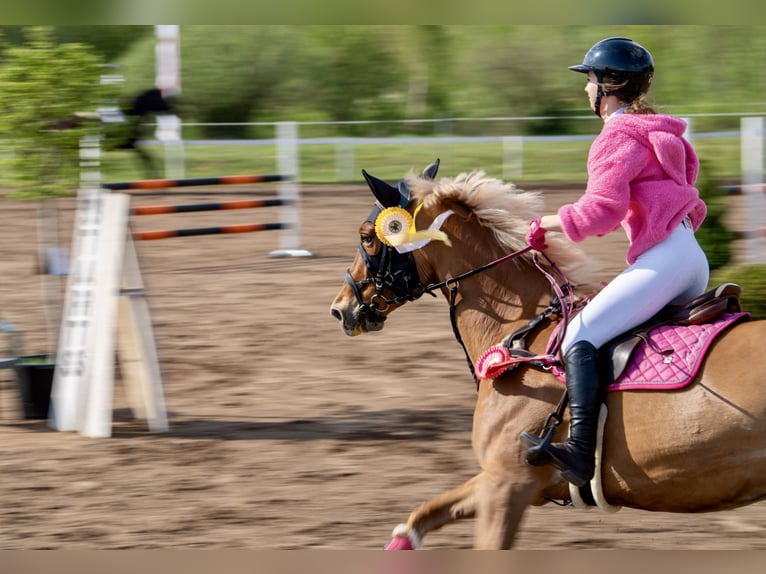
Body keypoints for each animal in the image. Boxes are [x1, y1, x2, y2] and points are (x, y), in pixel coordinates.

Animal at [330, 160, 766, 552]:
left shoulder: (509, 483)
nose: (341, 308)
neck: (519, 332)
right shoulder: (500, 480)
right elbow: (423, 516)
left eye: (368, 237)